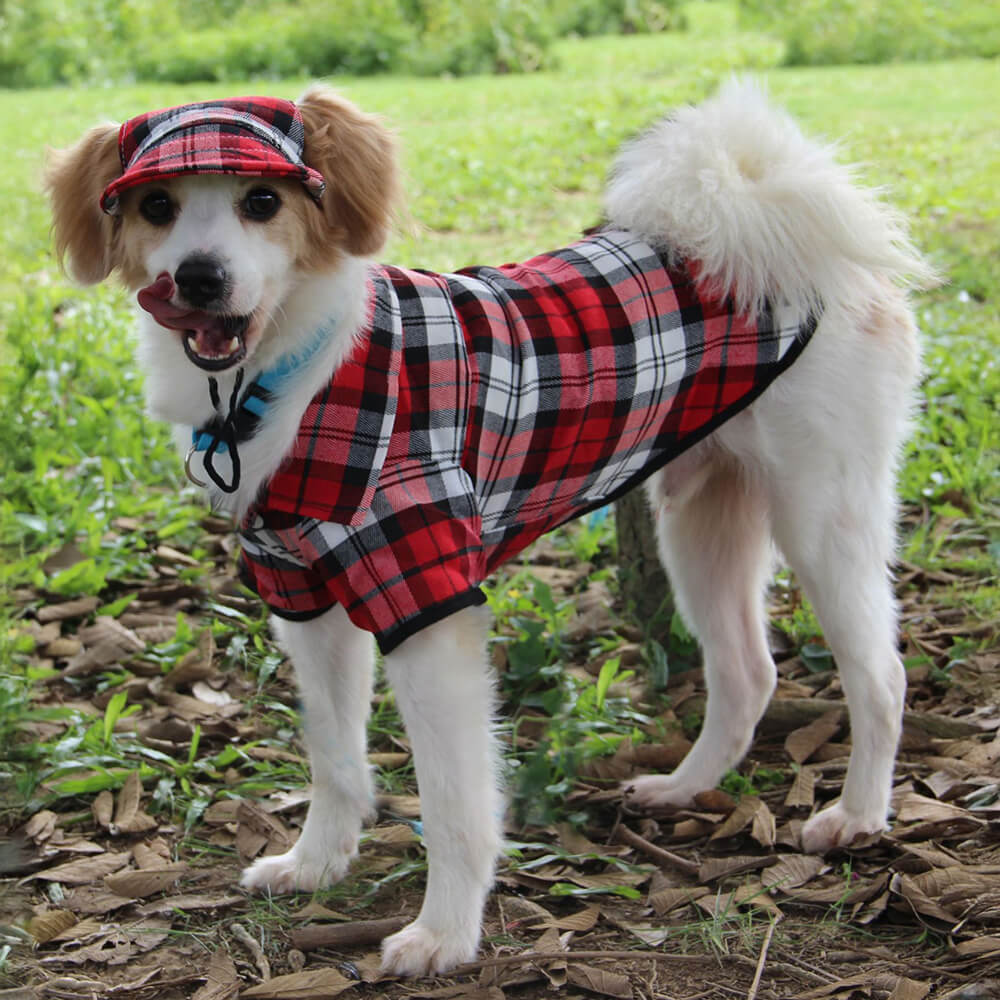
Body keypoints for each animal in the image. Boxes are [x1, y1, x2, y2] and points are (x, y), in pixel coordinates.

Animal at [47, 82, 932, 972]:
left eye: (263, 201)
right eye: (156, 205)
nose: (199, 278)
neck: (295, 374)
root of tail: (763, 204)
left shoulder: (428, 598)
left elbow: (454, 798)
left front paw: (444, 932)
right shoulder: (304, 597)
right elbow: (333, 755)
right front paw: (318, 861)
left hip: (823, 512)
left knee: (880, 676)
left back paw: (857, 816)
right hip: (700, 520)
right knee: (748, 672)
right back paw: (685, 787)